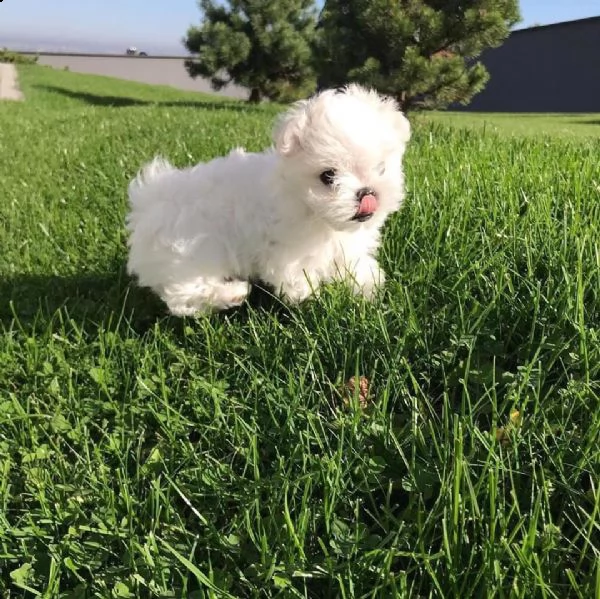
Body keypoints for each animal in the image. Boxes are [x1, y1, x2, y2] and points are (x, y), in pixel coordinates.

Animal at [124, 85, 410, 318]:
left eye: (381, 168)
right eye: (328, 176)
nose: (367, 194)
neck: (312, 211)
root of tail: (148, 202)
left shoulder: (345, 245)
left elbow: (354, 265)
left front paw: (368, 288)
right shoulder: (288, 250)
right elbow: (297, 277)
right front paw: (310, 300)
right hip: (191, 255)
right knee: (182, 297)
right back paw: (234, 293)